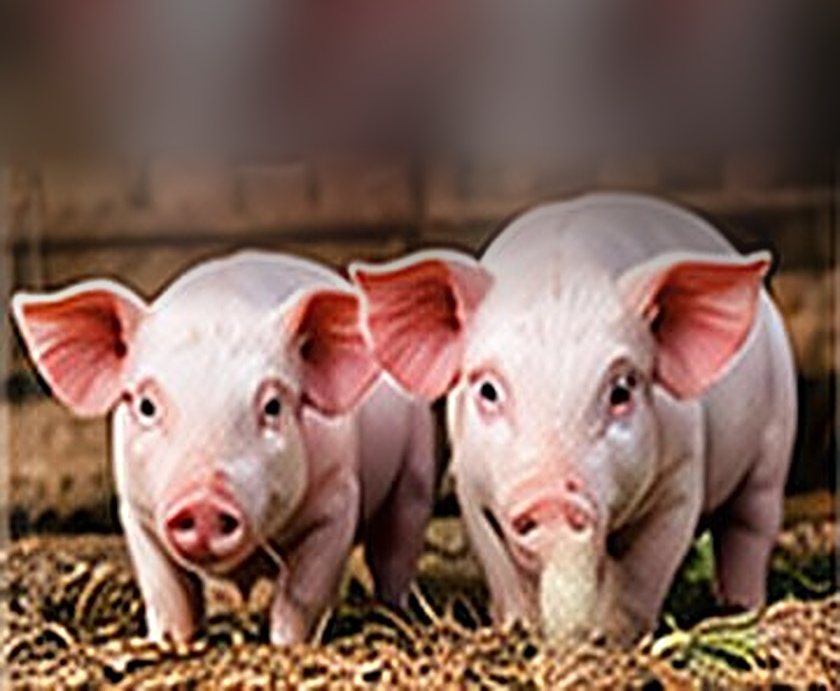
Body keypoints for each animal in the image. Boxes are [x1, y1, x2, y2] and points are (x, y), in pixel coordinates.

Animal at [11, 250, 436, 645]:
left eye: (273, 406)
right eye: (147, 406)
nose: (204, 501)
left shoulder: (338, 500)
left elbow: (302, 594)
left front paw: (285, 645)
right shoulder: (135, 511)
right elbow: (169, 594)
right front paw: (171, 642)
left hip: (417, 470)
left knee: (395, 547)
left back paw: (394, 611)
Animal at [352, 192, 797, 642]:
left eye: (621, 391)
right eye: (488, 390)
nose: (552, 499)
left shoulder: (683, 476)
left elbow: (643, 576)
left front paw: (613, 639)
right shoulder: (472, 489)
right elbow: (504, 574)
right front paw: (524, 629)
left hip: (774, 445)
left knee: (750, 527)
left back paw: (743, 608)